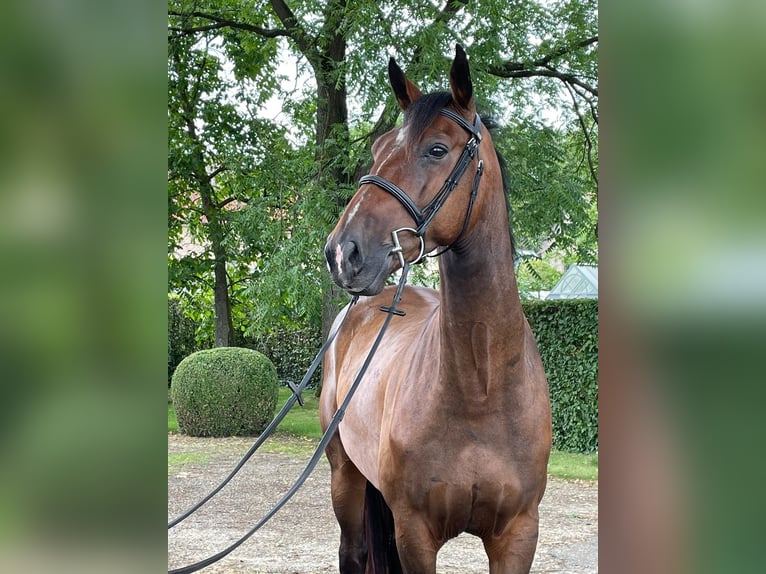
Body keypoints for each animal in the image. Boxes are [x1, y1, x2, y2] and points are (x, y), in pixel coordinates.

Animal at [322, 46, 552, 574]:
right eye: (378, 149)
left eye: (437, 150)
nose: (343, 252)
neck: (480, 388)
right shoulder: (416, 534)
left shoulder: (518, 534)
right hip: (345, 475)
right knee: (353, 551)